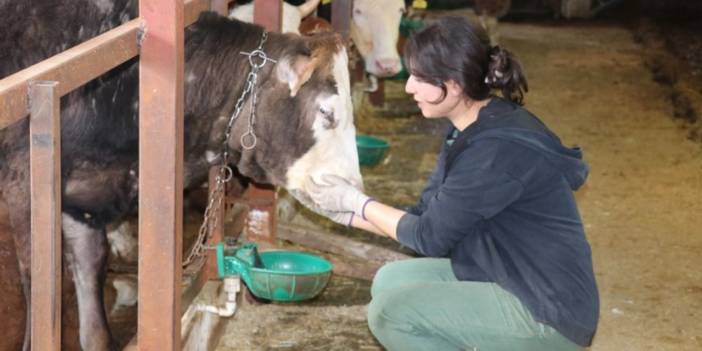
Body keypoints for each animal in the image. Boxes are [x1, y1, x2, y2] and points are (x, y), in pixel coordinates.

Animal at [0, 1, 364, 350]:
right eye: (327, 112)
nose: (354, 187)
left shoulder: (86, 197)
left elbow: (92, 287)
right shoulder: (28, 181)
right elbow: (40, 281)